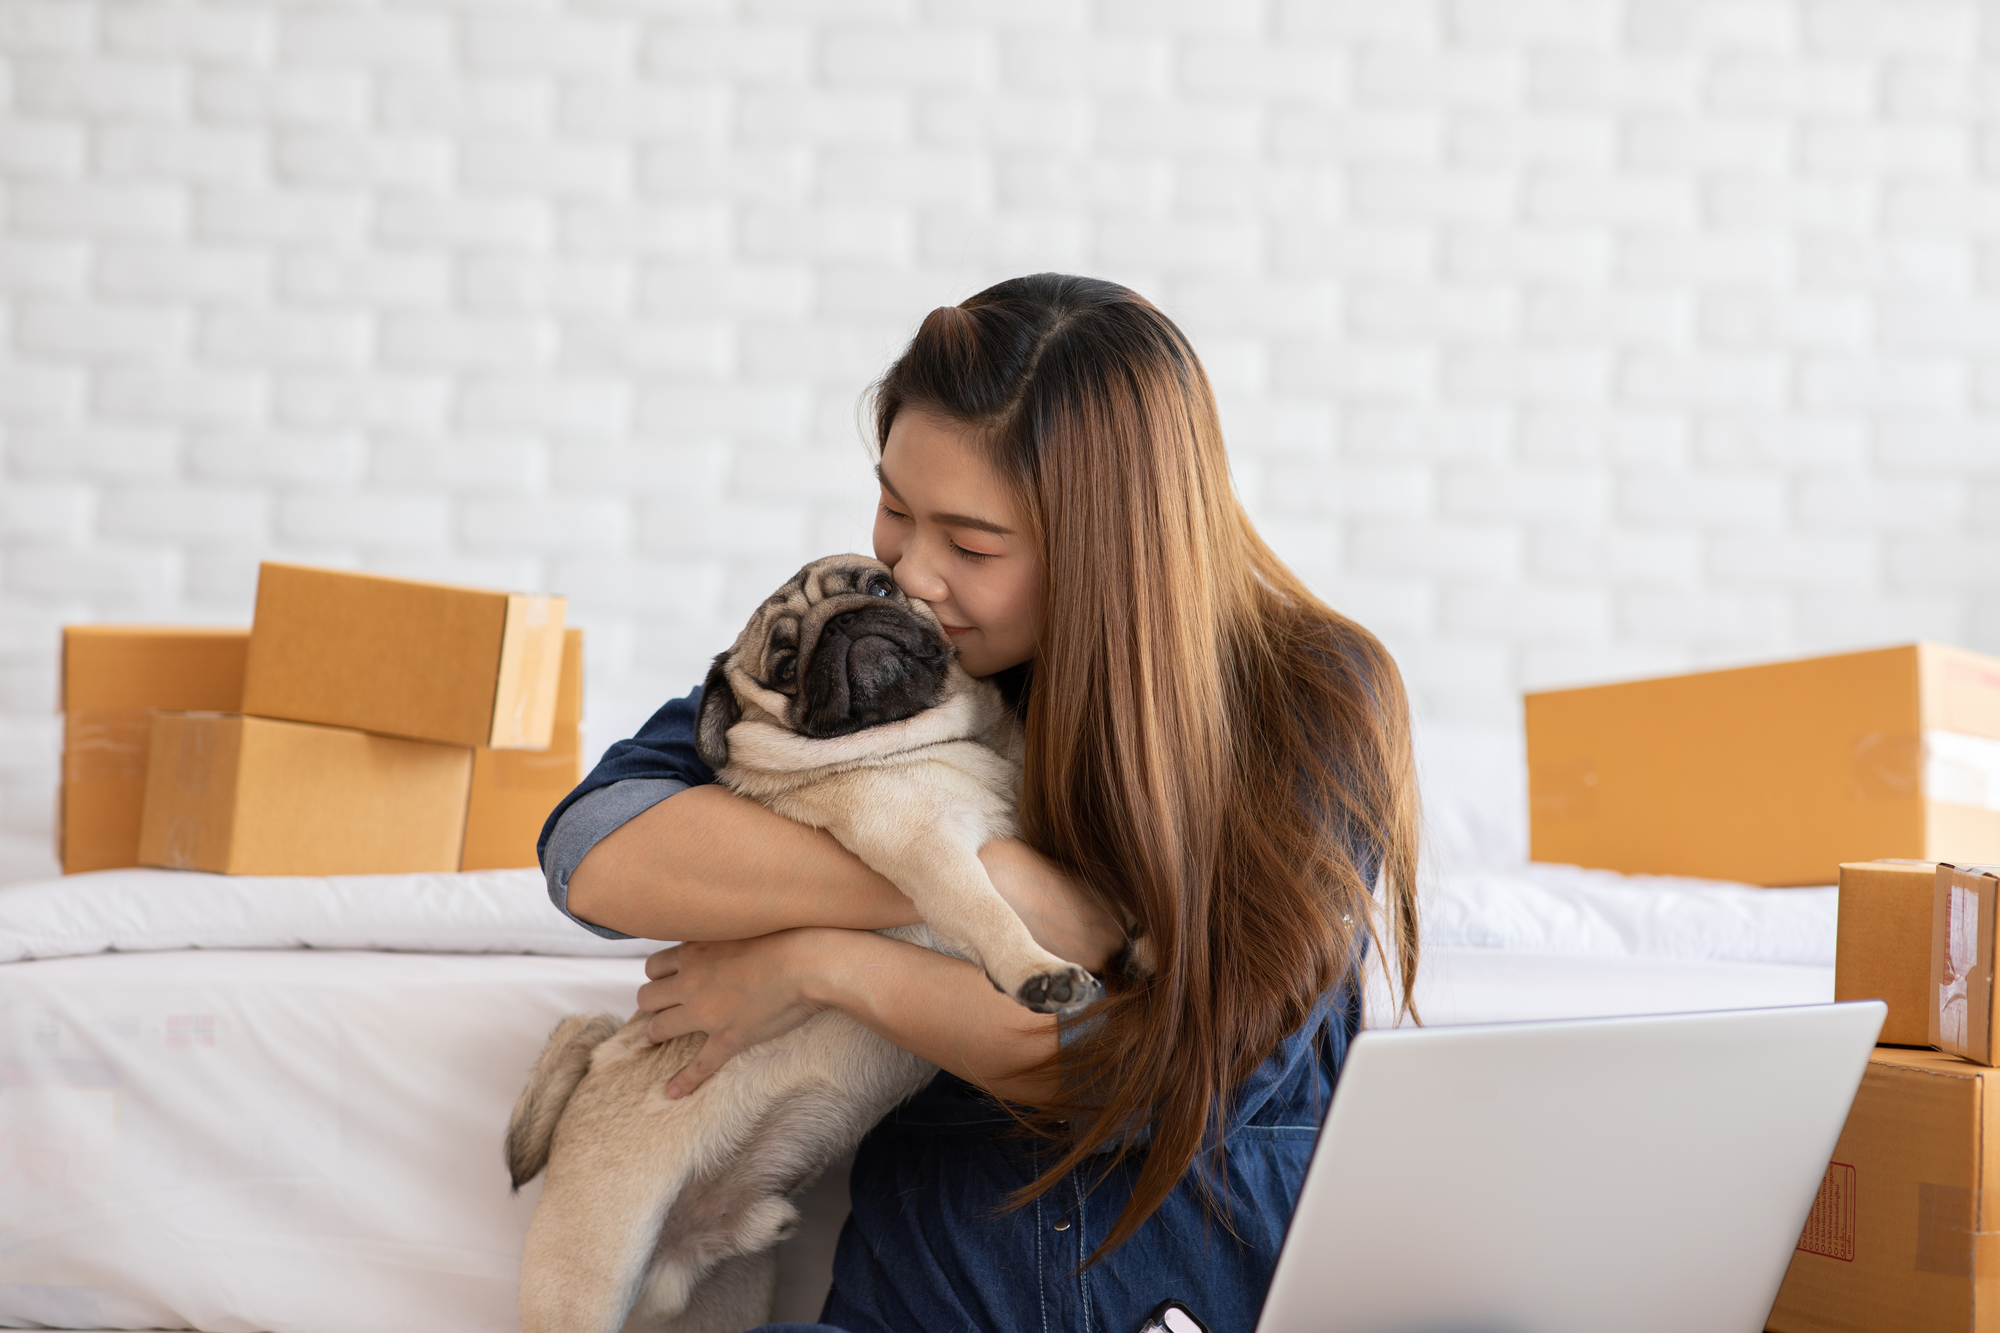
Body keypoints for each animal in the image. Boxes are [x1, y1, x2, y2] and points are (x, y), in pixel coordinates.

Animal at [508, 552, 1104, 1328]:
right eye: (786, 665)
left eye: (879, 584)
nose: (846, 623)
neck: (946, 741)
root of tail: (598, 1060)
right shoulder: (928, 849)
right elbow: (990, 912)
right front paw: (1040, 971)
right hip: (590, 1274)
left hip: (726, 1298)